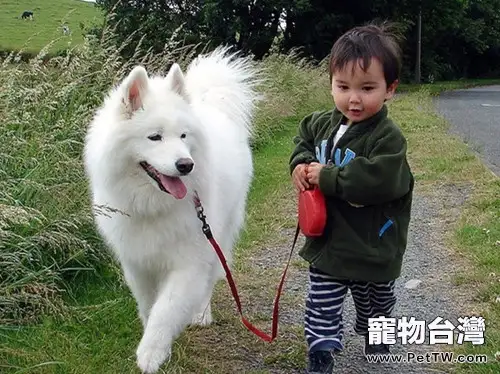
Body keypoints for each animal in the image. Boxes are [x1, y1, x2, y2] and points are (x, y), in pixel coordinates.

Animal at [83, 48, 258, 372]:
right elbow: (148, 305)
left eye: (184, 136)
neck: (152, 204)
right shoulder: (137, 262)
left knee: (212, 277)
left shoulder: (188, 262)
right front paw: (150, 339)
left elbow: (166, 310)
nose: (186, 165)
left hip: (218, 235)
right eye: (155, 137)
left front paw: (151, 353)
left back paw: (201, 314)